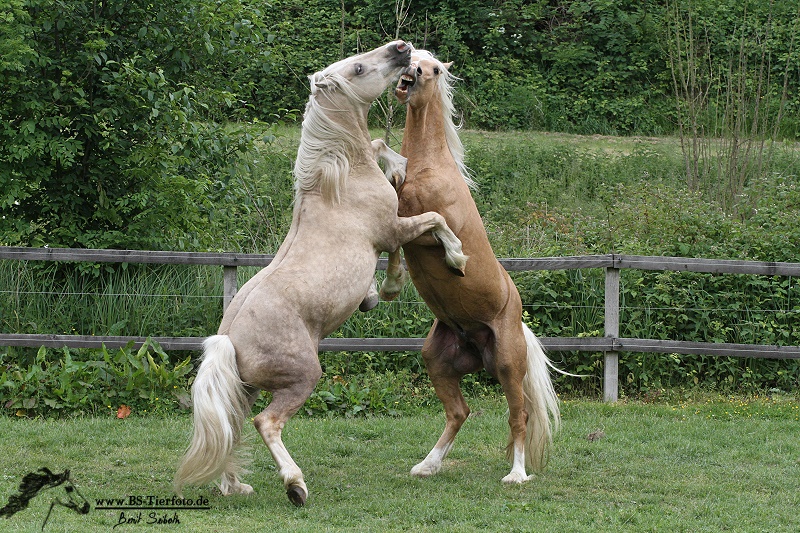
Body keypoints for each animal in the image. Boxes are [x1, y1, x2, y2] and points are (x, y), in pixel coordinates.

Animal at [171, 42, 466, 508]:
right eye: (358, 67)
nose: (401, 49)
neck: (339, 183)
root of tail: (228, 338)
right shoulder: (394, 227)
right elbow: (433, 221)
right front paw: (455, 257)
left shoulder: (389, 231)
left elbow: (381, 150)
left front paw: (380, 291)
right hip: (302, 377)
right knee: (266, 423)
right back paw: (295, 486)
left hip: (246, 388)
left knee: (232, 425)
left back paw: (235, 485)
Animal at [382, 52, 564, 484]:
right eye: (413, 56)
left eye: (433, 69)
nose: (411, 69)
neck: (428, 167)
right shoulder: (398, 219)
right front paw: (391, 285)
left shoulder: (425, 225)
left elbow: (436, 226)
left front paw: (457, 257)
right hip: (438, 359)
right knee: (459, 412)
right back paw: (427, 465)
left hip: (508, 364)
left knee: (520, 416)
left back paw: (516, 475)